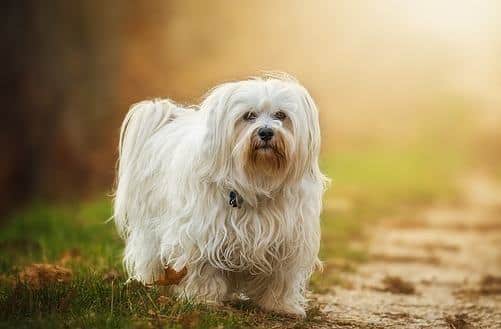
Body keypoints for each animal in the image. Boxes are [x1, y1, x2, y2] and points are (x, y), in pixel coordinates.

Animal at [112, 73, 328, 316]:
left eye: (281, 115)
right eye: (249, 116)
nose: (265, 132)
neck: (257, 179)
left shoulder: (287, 239)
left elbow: (280, 277)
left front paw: (280, 305)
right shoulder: (203, 234)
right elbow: (204, 269)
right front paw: (203, 299)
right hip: (150, 227)